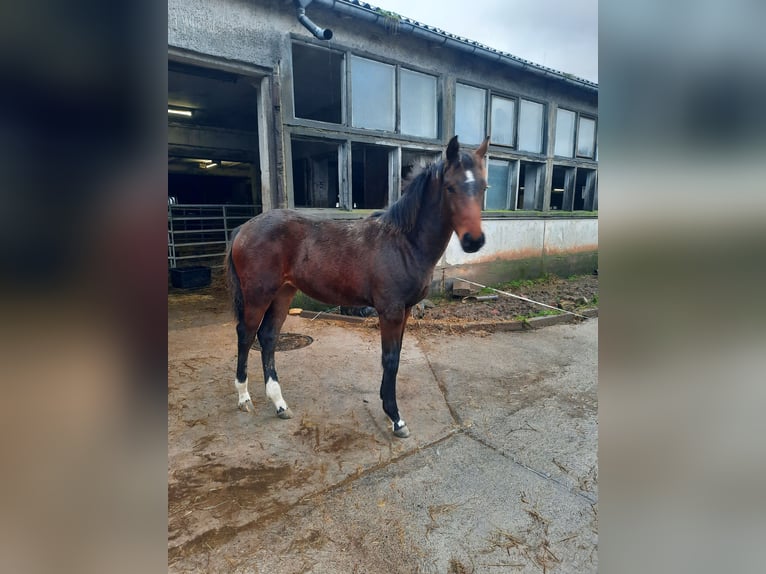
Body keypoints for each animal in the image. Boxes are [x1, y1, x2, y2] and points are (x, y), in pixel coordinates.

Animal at [225, 136, 488, 440]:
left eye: (483, 187)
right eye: (450, 187)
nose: (474, 241)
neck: (403, 243)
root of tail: (243, 229)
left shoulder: (405, 311)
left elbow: (396, 357)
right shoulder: (390, 311)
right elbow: (390, 360)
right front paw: (396, 419)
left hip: (283, 293)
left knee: (268, 337)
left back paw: (279, 403)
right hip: (258, 295)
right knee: (246, 335)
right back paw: (244, 397)